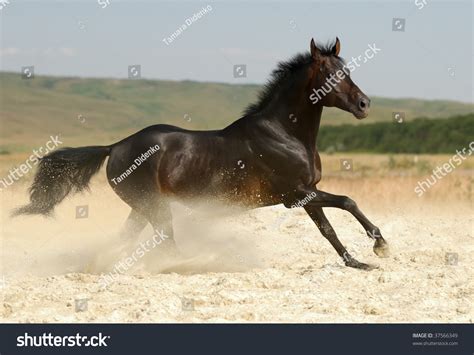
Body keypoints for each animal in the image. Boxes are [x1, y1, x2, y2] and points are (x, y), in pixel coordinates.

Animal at [13, 38, 388, 270]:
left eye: (348, 70)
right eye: (330, 73)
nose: (364, 105)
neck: (285, 132)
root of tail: (115, 147)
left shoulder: (306, 195)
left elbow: (328, 229)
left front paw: (359, 261)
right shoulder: (296, 193)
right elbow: (347, 202)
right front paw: (380, 246)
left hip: (141, 208)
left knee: (129, 239)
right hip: (155, 206)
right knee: (165, 242)